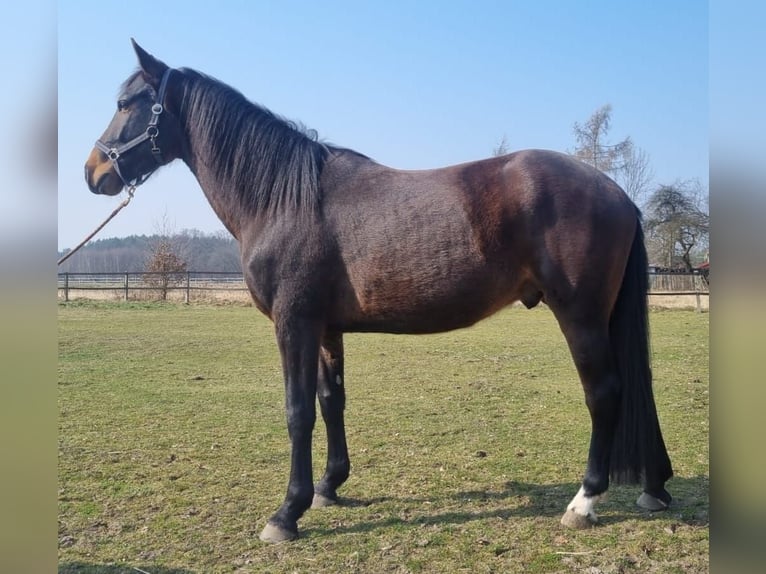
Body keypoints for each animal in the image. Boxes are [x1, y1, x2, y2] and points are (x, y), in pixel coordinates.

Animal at [84, 40, 673, 543]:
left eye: (127, 103)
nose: (93, 172)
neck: (284, 200)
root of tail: (618, 195)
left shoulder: (293, 323)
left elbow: (297, 411)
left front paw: (287, 512)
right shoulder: (324, 328)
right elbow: (331, 401)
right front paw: (328, 488)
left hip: (581, 316)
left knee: (605, 394)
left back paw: (583, 503)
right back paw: (654, 486)